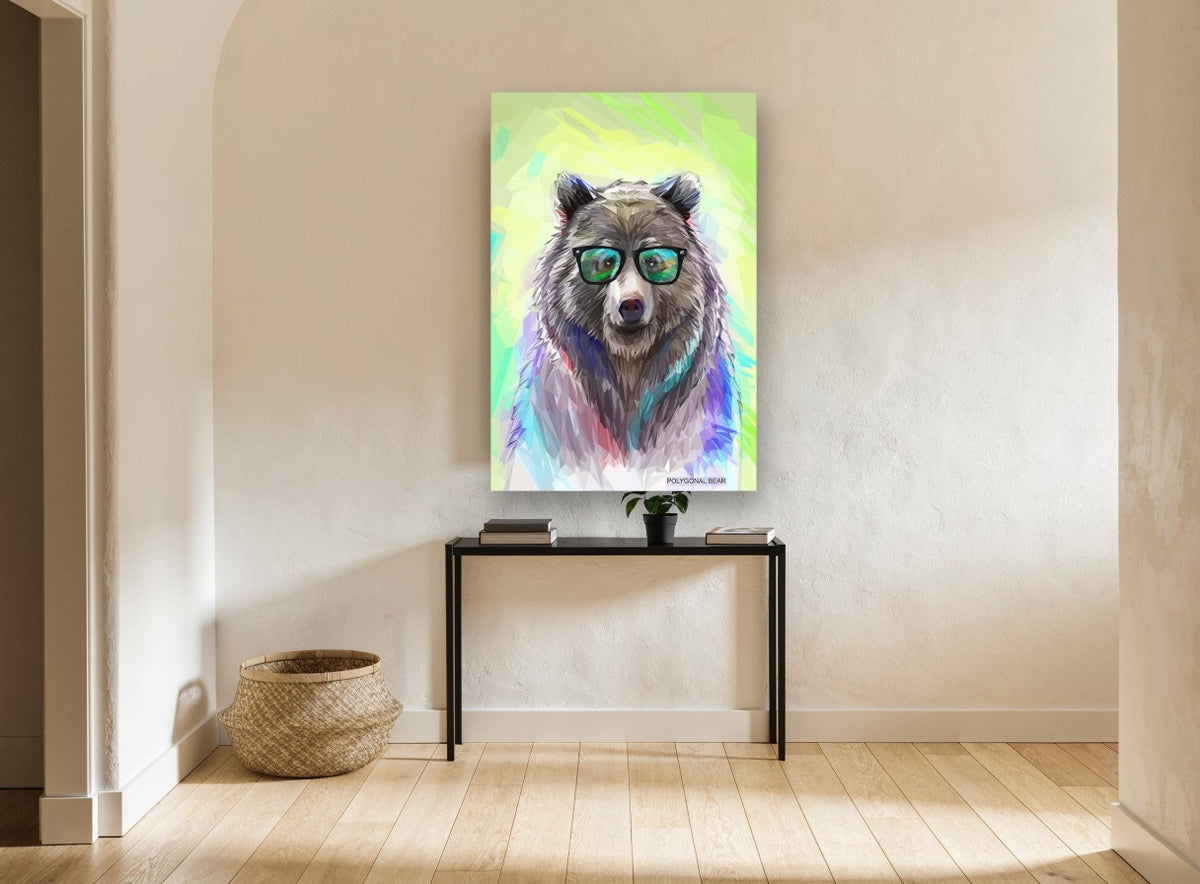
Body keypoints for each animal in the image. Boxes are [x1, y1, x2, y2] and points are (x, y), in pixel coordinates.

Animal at [501, 171, 741, 491]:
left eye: (654, 260)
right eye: (604, 261)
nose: (631, 305)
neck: (629, 370)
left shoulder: (691, 418)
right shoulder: (561, 420)